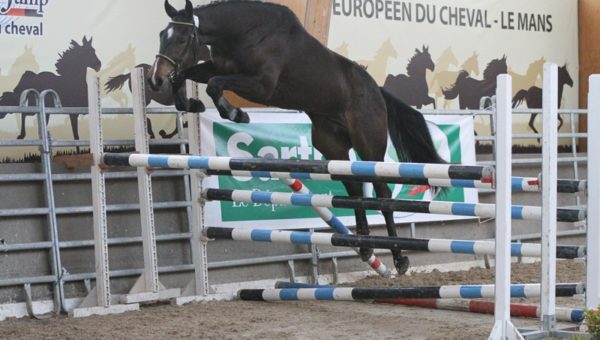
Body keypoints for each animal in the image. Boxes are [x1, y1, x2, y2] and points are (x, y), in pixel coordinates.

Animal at [149, 0, 446, 274]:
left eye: (182, 38)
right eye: (162, 35)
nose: (155, 79)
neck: (243, 33)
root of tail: (378, 92)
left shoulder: (262, 86)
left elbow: (214, 85)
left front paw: (236, 114)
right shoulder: (215, 67)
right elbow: (187, 76)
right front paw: (192, 104)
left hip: (368, 144)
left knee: (382, 194)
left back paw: (399, 258)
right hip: (332, 145)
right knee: (353, 187)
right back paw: (364, 246)